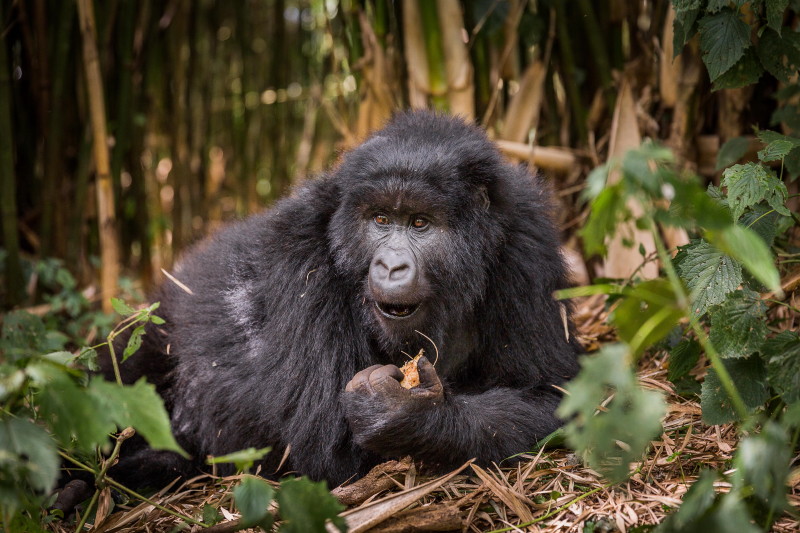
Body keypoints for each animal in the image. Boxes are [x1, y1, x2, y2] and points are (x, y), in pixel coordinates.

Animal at [104, 111, 580, 486]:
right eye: (381, 219)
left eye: (420, 223)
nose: (390, 266)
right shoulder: (298, 251)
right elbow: (330, 449)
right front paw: (401, 413)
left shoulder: (526, 240)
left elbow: (553, 396)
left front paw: (407, 415)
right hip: (158, 320)